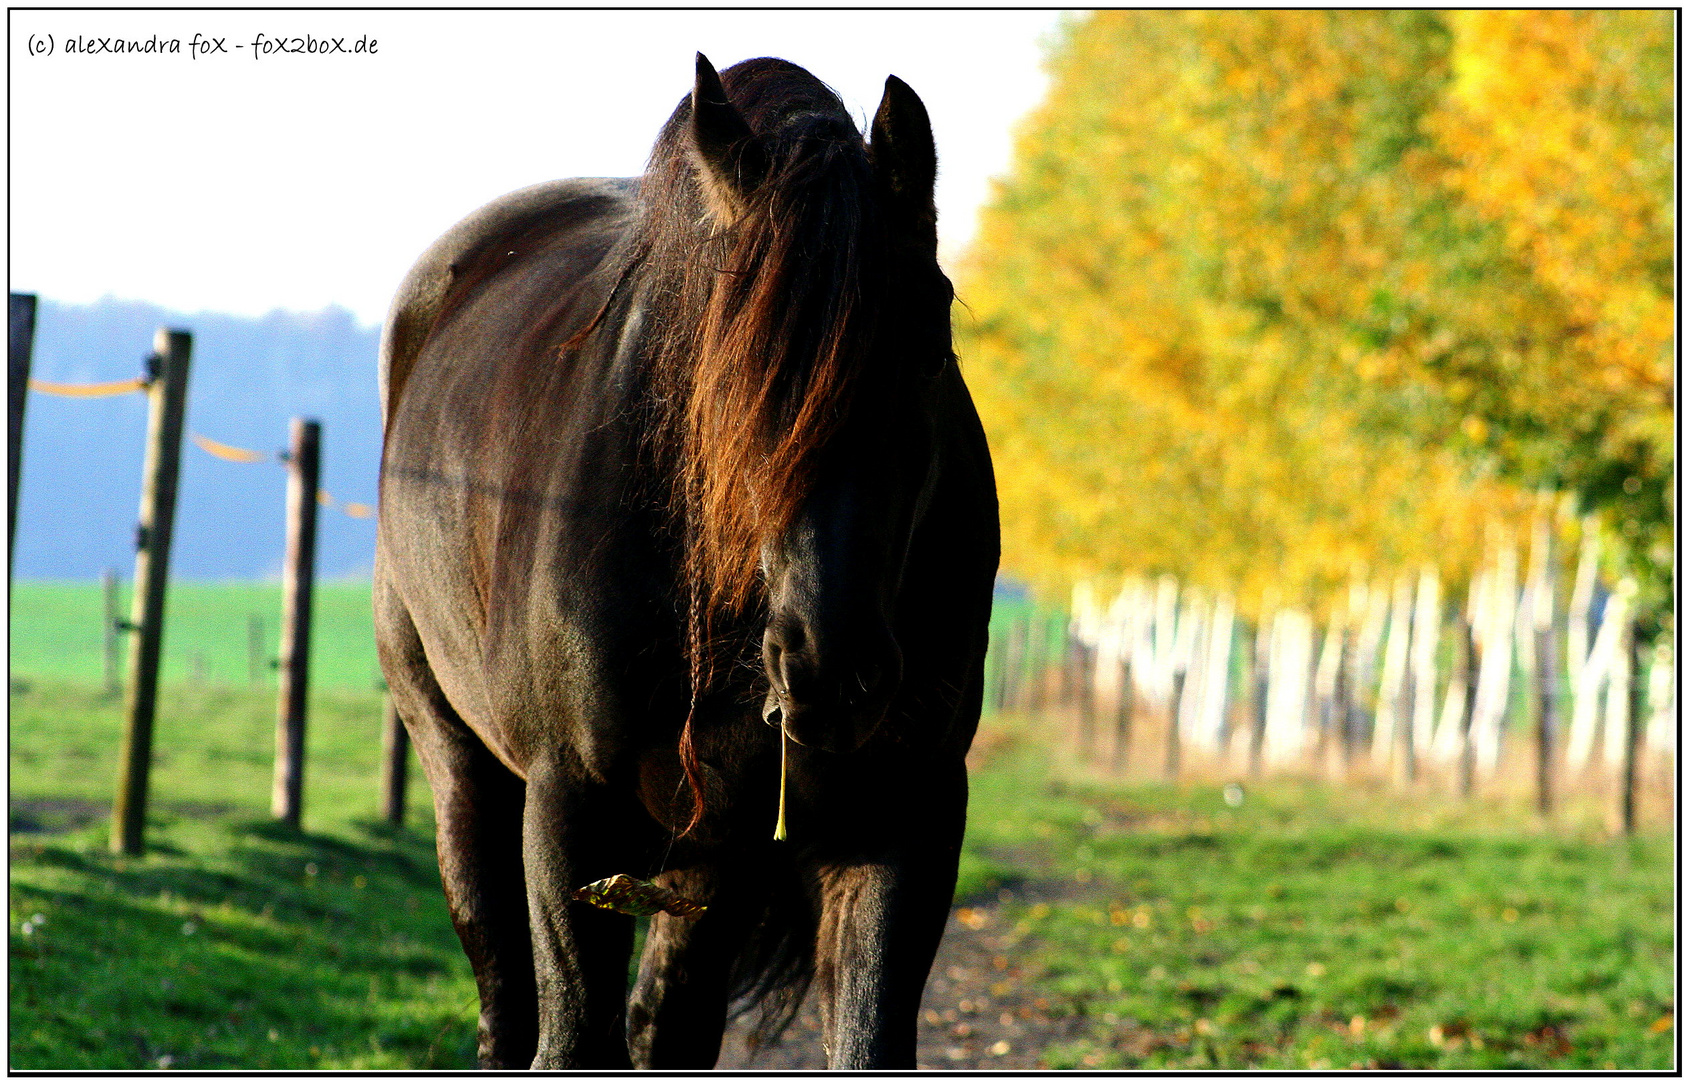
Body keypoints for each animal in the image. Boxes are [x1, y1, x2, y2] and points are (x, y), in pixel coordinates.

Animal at [375, 54, 990, 1064]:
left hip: (711, 852)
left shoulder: (899, 813)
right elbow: (570, 1035)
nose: (834, 668)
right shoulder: (572, 812)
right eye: (721, 365)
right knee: (507, 997)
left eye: (931, 345)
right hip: (463, 767)